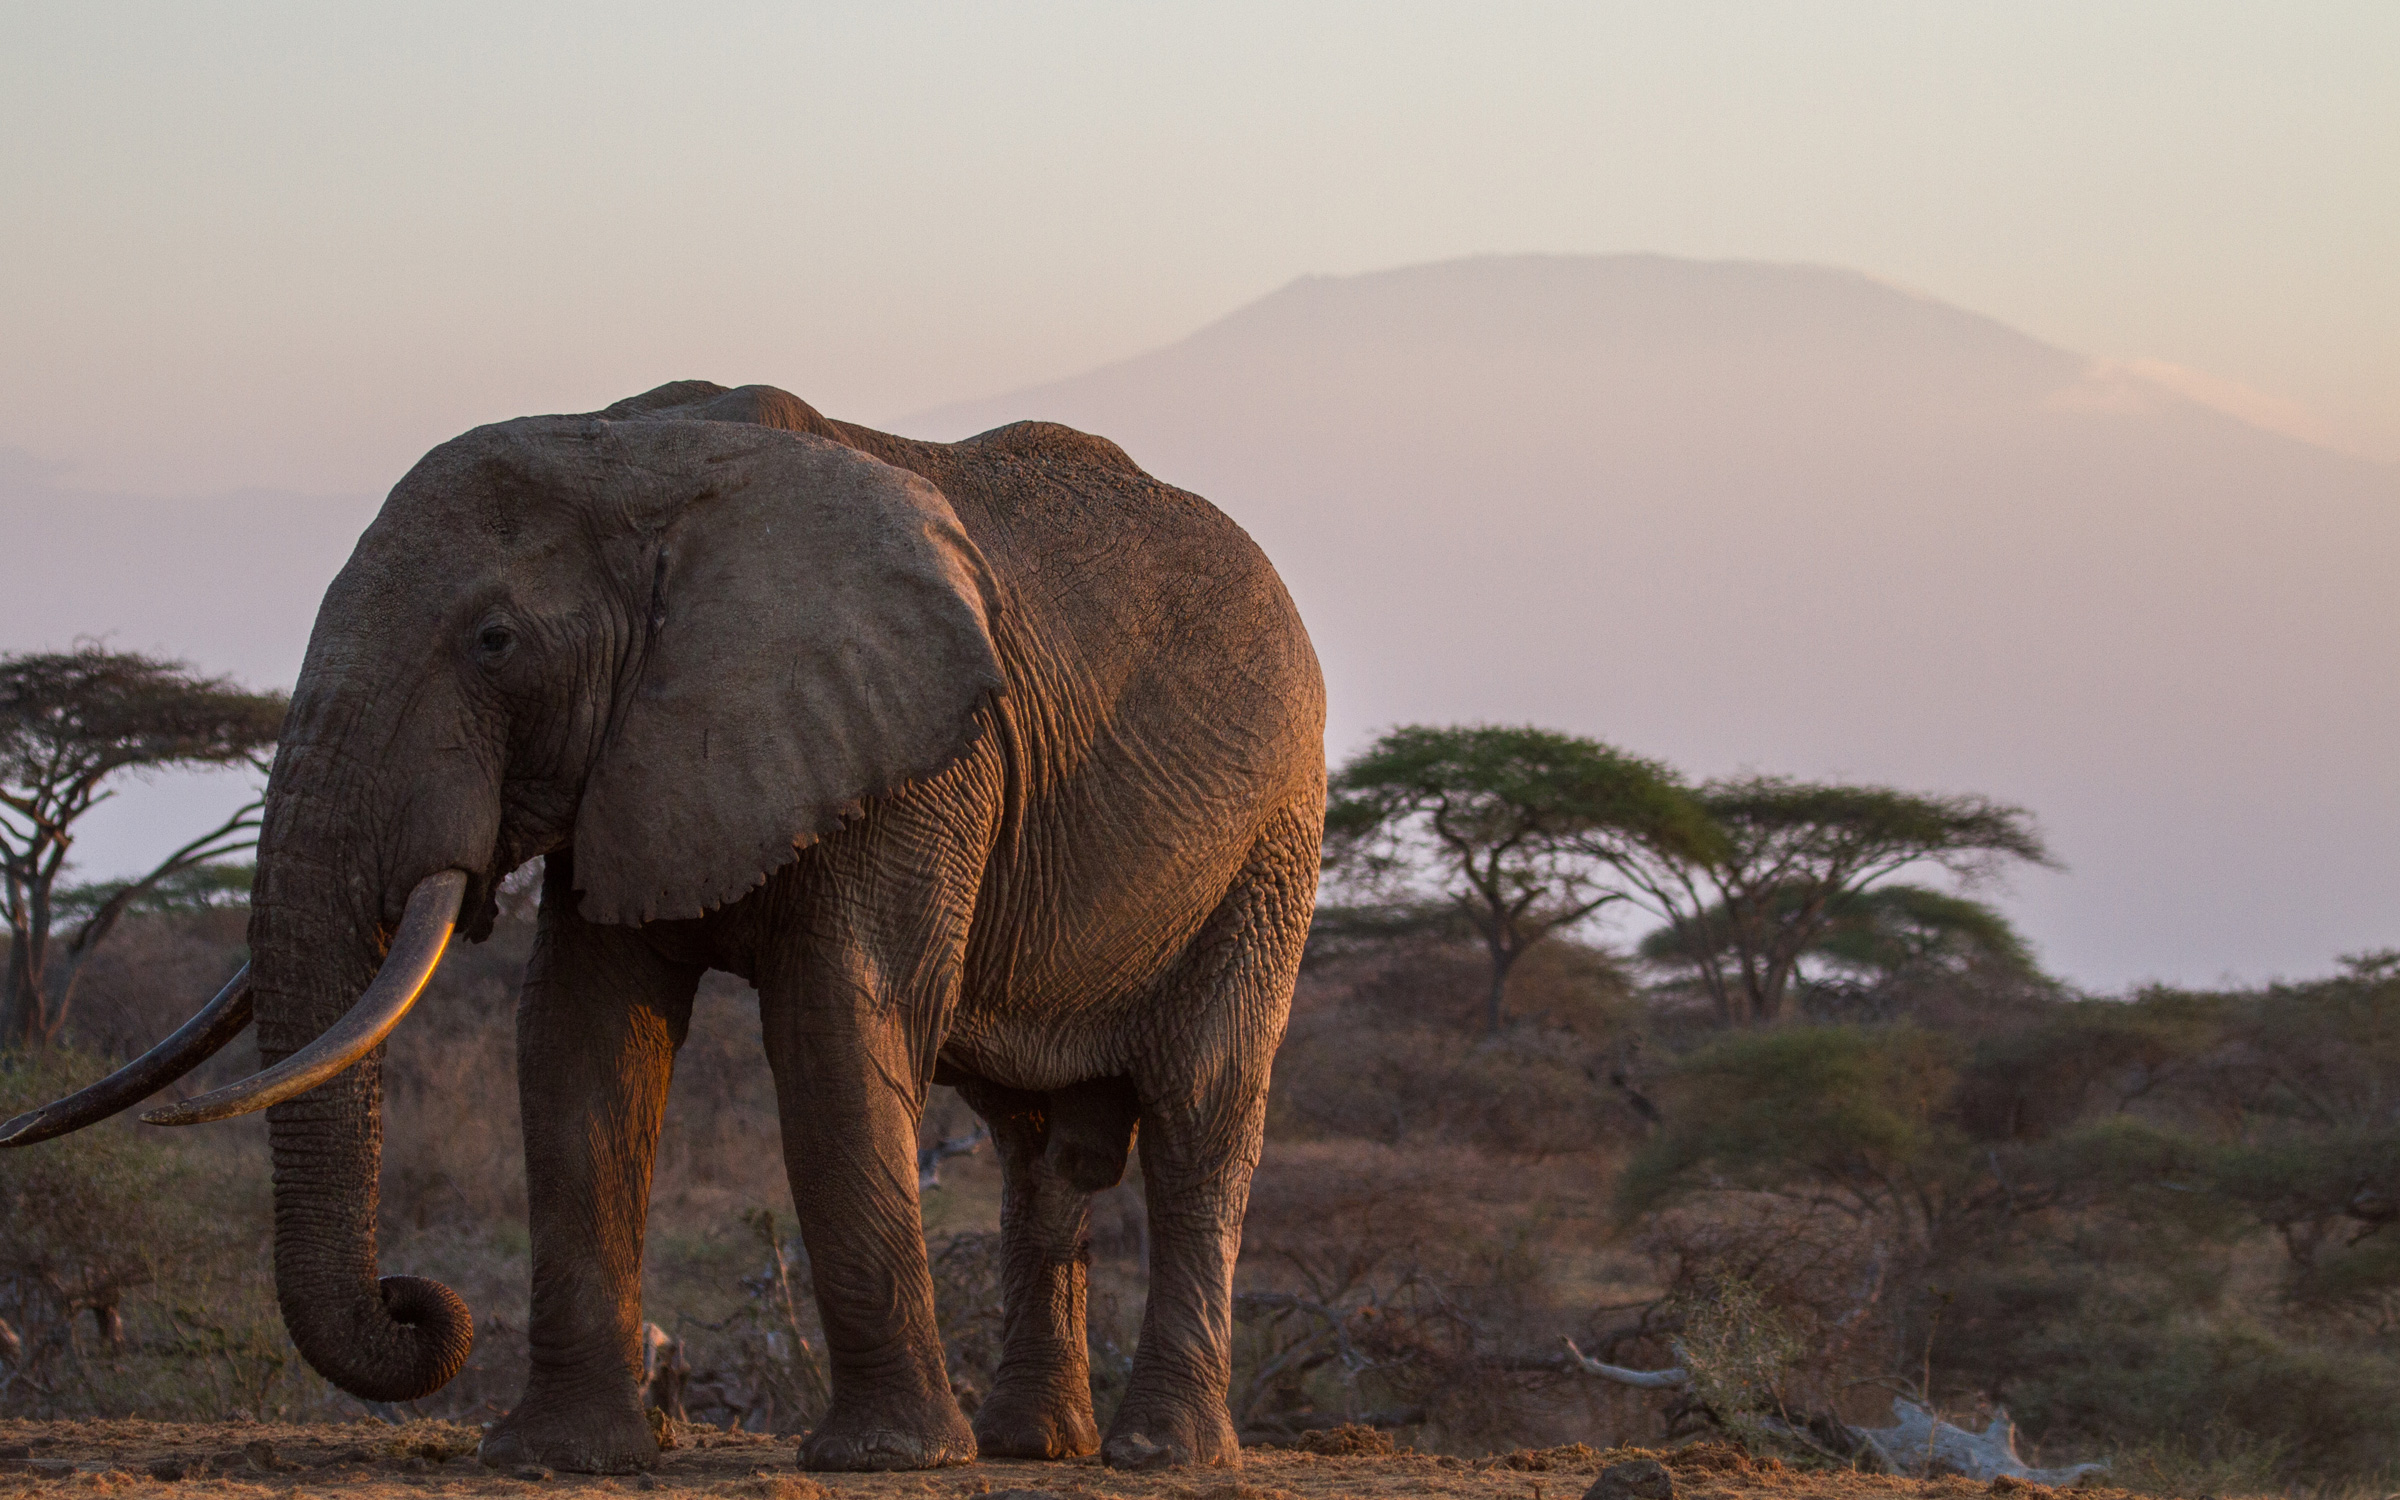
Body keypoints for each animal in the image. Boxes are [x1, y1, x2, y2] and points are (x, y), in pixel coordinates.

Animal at [0, 384, 1324, 1478]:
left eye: (494, 643)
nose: (414, 1299)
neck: (637, 453)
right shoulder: (633, 758)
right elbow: (579, 1038)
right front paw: (553, 1459)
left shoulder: (919, 759)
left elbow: (836, 1022)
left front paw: (886, 1461)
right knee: (1030, 1142)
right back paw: (1030, 1446)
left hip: (1273, 835)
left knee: (1202, 1110)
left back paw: (1159, 1454)